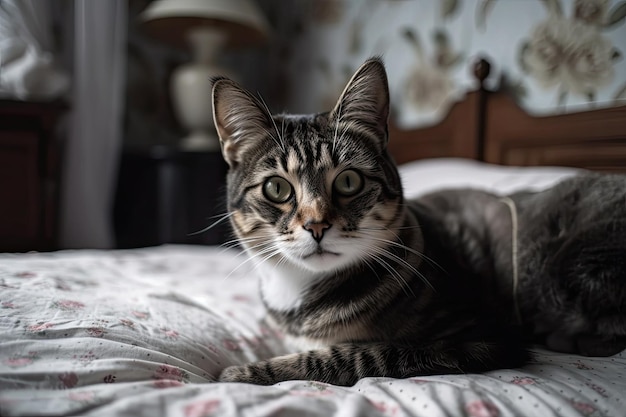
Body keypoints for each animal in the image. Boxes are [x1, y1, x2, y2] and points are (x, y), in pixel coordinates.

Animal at [211, 57, 624, 386]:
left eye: (348, 181)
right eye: (277, 188)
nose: (316, 226)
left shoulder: (478, 336)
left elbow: (361, 353)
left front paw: (246, 372)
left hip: (569, 266)